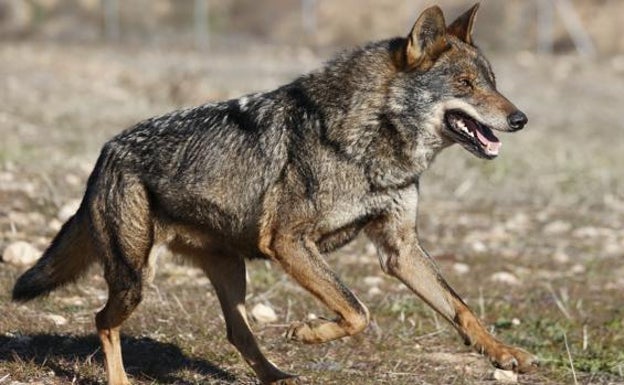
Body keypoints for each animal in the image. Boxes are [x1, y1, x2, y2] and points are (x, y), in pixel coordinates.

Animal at [13, 3, 540, 384]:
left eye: (493, 83)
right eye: (466, 84)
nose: (520, 119)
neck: (372, 143)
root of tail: (107, 151)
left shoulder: (399, 250)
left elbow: (460, 308)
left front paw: (504, 353)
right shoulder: (288, 242)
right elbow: (357, 310)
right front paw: (308, 332)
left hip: (230, 275)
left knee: (237, 335)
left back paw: (278, 376)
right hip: (135, 280)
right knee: (102, 321)